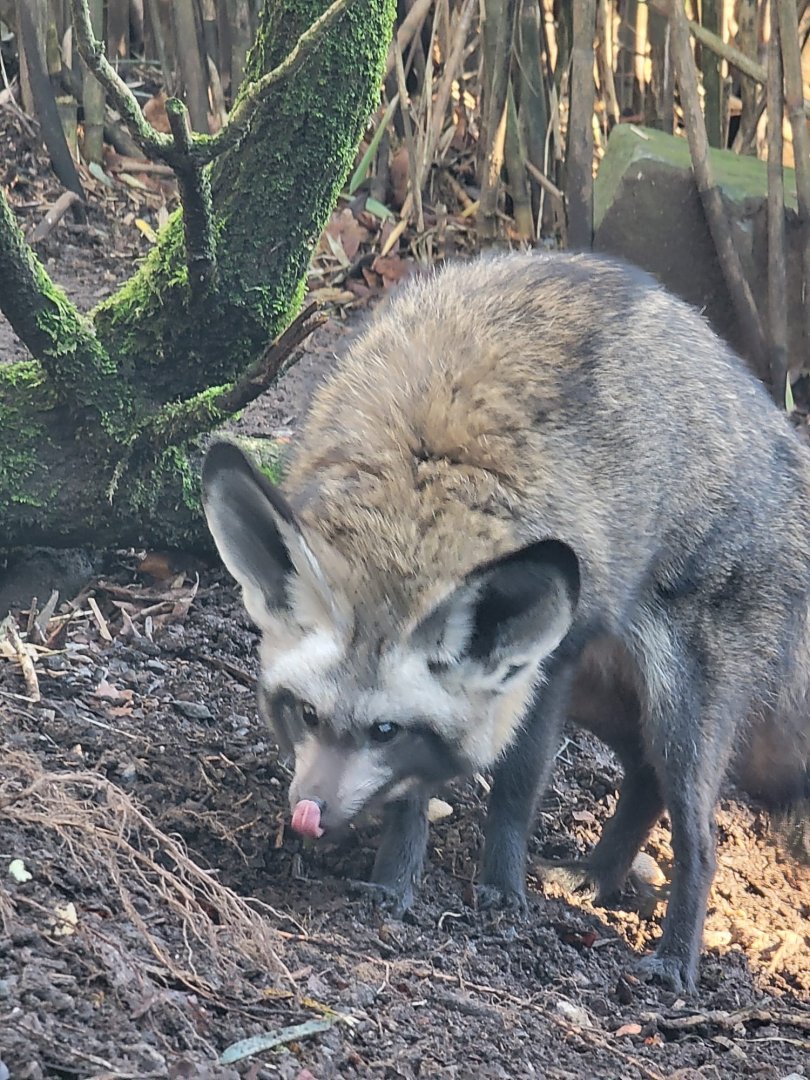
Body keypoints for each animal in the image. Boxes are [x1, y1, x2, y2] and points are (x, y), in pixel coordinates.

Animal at [201, 251, 810, 995]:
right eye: (307, 715)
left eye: (383, 730)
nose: (307, 817)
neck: (422, 485)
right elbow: (412, 796)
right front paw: (394, 882)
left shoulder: (549, 662)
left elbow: (516, 787)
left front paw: (500, 888)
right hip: (608, 701)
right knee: (642, 779)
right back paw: (598, 876)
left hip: (679, 710)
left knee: (702, 837)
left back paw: (674, 958)